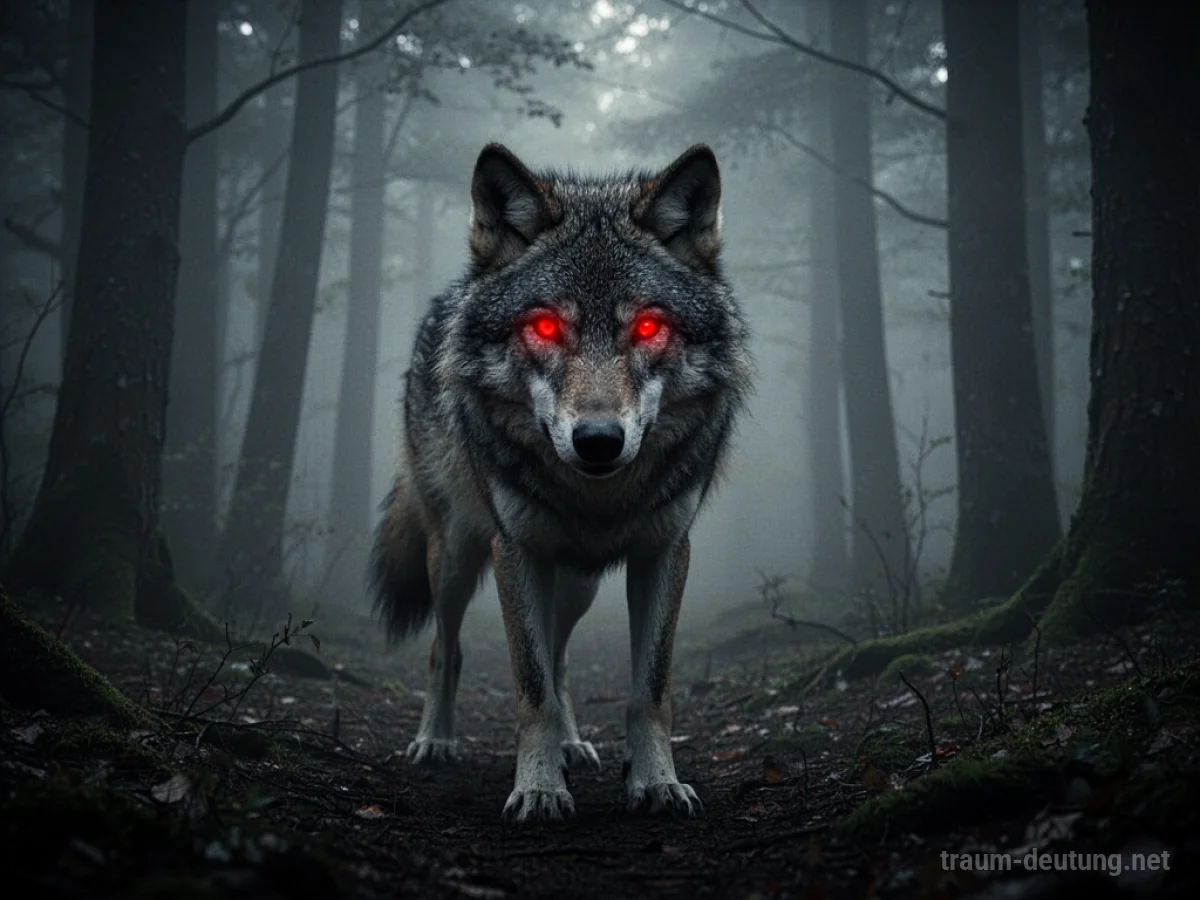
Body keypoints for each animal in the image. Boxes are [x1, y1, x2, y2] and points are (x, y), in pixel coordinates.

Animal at [371, 142, 752, 823]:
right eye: (546, 327)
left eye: (648, 327)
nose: (598, 439)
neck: (597, 499)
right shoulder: (517, 550)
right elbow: (532, 688)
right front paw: (539, 789)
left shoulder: (664, 551)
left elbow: (647, 689)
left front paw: (656, 782)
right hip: (457, 557)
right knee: (447, 648)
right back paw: (434, 740)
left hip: (577, 584)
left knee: (563, 654)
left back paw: (575, 745)